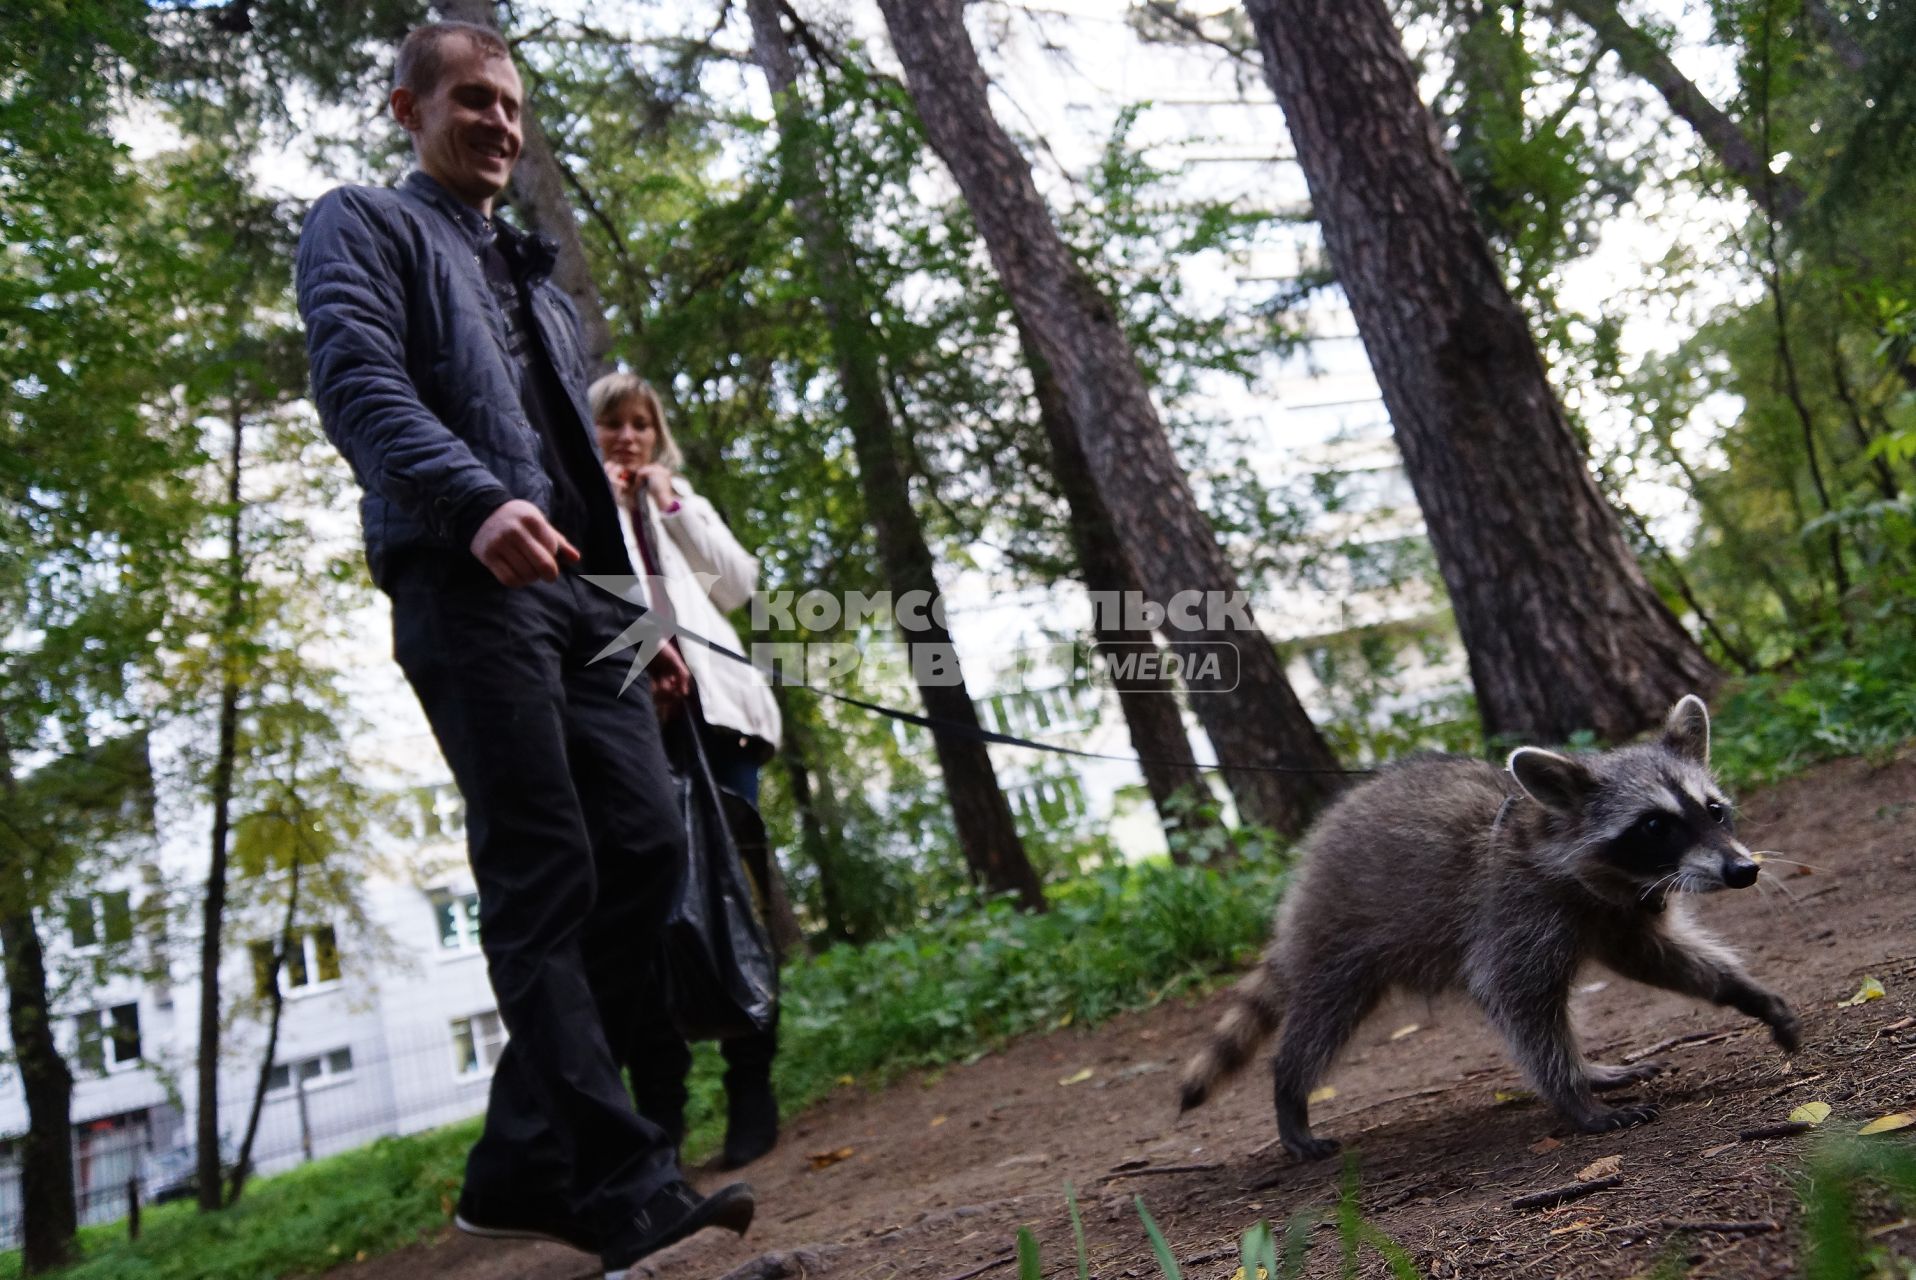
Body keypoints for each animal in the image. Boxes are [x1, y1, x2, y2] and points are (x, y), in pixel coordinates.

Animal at [1172, 701, 1801, 1157]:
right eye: (1654, 825)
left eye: (1714, 810)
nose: (1744, 870)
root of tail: (1309, 857)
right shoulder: (1515, 910)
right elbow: (1517, 1000)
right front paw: (1574, 1099)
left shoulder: (1618, 914)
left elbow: (1660, 959)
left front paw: (1744, 991)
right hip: (1343, 927)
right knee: (1324, 1015)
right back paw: (1289, 1088)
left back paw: (1591, 1067)